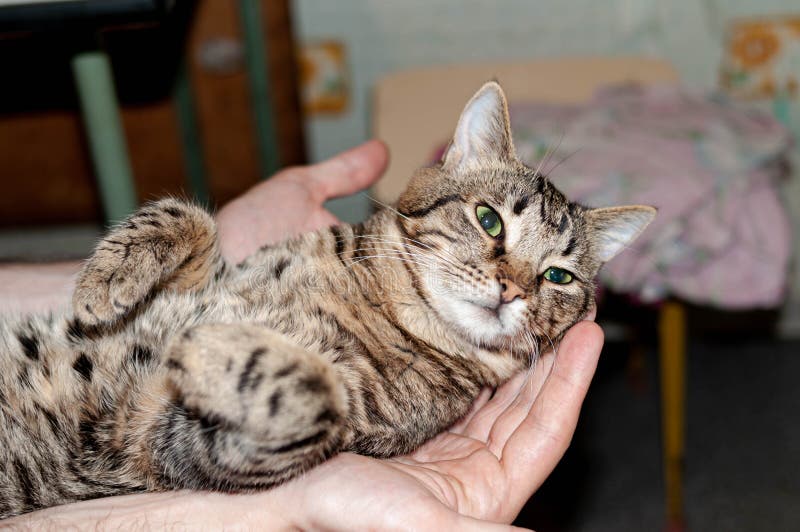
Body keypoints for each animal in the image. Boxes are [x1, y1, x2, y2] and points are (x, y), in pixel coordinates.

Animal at [0, 83, 652, 520]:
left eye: (558, 276)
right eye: (489, 219)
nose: (512, 288)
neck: (383, 305)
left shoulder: (165, 443)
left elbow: (307, 398)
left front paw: (217, 348)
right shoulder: (207, 284)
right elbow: (194, 219)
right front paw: (106, 280)